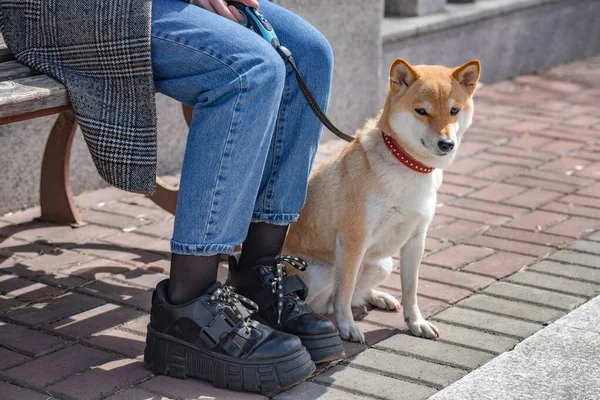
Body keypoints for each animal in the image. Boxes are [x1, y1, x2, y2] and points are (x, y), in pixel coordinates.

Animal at [282, 57, 482, 342]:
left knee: (357, 294)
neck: (408, 165)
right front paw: (348, 327)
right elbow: (343, 291)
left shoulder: (416, 239)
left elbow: (411, 289)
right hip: (317, 270)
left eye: (454, 110)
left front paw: (416, 322)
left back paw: (379, 297)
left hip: (383, 264)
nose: (447, 144)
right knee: (330, 297)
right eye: (422, 111)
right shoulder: (353, 240)